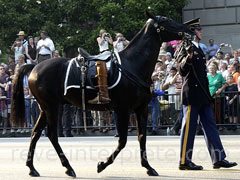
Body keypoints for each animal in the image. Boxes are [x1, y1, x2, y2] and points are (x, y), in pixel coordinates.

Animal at [10, 11, 193, 178]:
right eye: (167, 20)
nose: (188, 29)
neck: (132, 65)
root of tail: (34, 67)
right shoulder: (123, 109)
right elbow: (123, 140)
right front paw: (102, 164)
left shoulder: (141, 108)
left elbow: (142, 136)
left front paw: (148, 167)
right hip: (52, 107)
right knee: (51, 134)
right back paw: (68, 167)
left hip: (45, 108)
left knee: (35, 133)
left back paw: (32, 168)